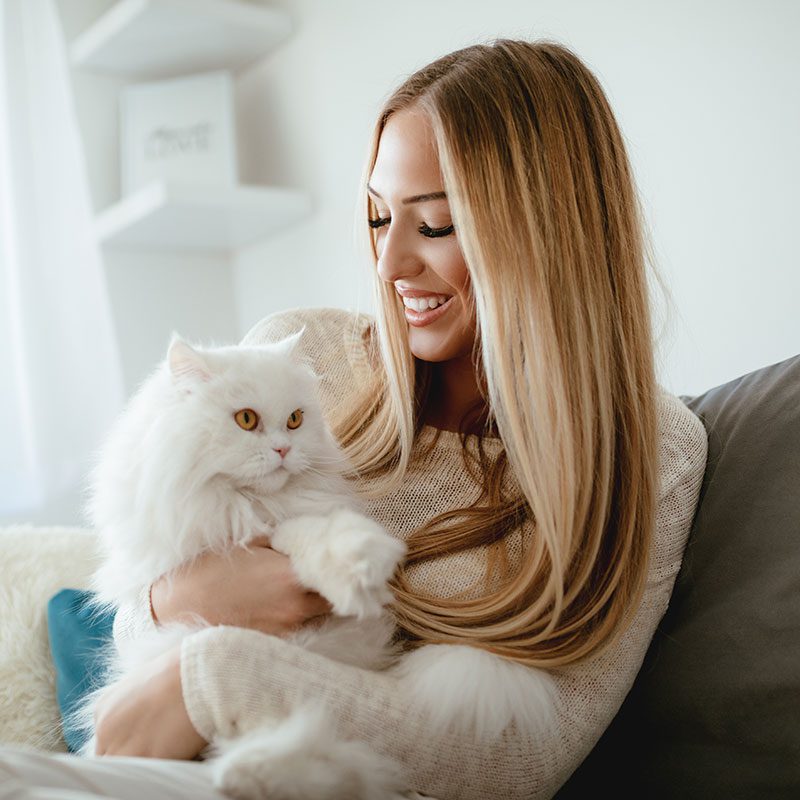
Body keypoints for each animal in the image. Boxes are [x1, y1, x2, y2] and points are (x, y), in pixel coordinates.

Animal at [79, 328, 406, 796]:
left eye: (295, 420)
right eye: (247, 420)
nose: (284, 449)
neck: (248, 508)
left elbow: (313, 533)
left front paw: (361, 566)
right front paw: (359, 568)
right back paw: (248, 775)